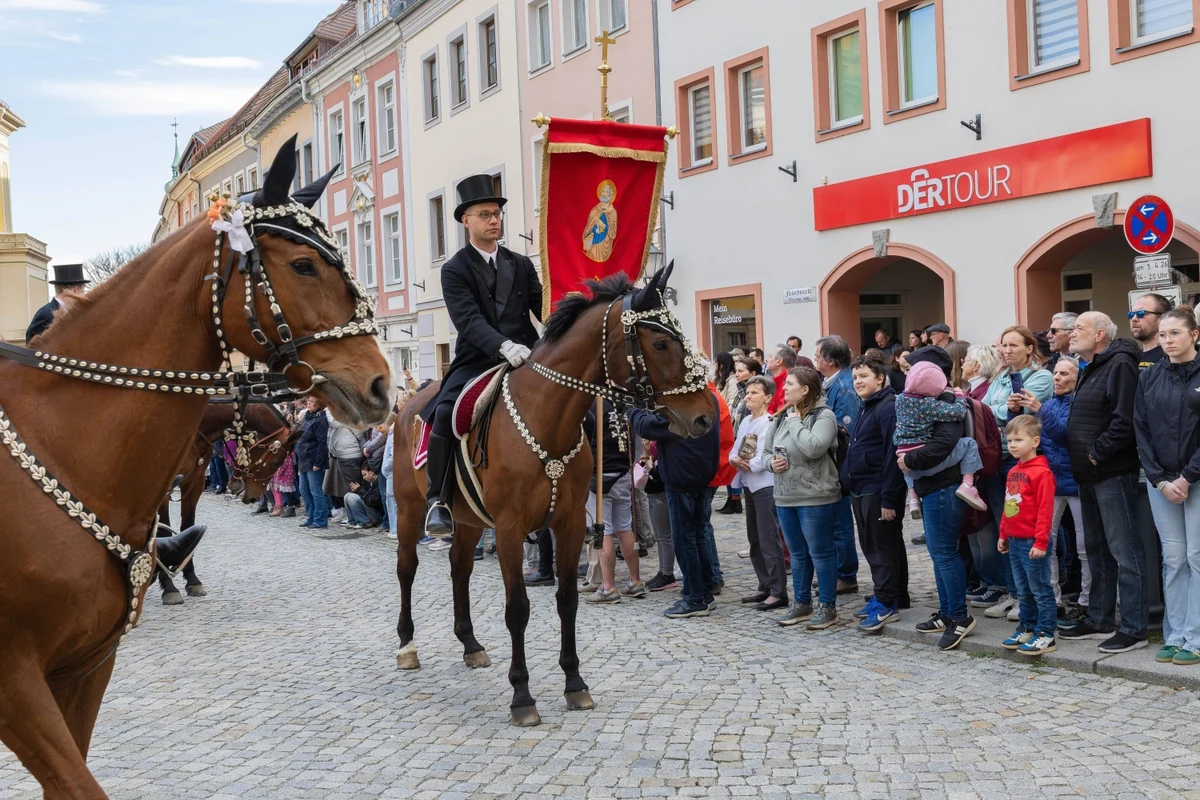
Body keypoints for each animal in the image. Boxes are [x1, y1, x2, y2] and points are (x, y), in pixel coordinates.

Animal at [155, 399, 300, 604]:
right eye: (276, 462)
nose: (253, 496)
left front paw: (192, 580)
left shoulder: (195, 481)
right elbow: (163, 531)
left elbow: (188, 527)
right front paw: (168, 586)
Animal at [391, 265, 713, 727]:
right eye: (660, 342)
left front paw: (575, 684)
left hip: (468, 518)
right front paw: (522, 696)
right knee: (407, 568)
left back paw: (470, 644)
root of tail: (406, 406)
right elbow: (518, 608)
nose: (705, 416)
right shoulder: (509, 529)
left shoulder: (570, 523)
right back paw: (407, 646)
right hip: (409, 509)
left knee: (459, 568)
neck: (547, 417)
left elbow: (567, 599)